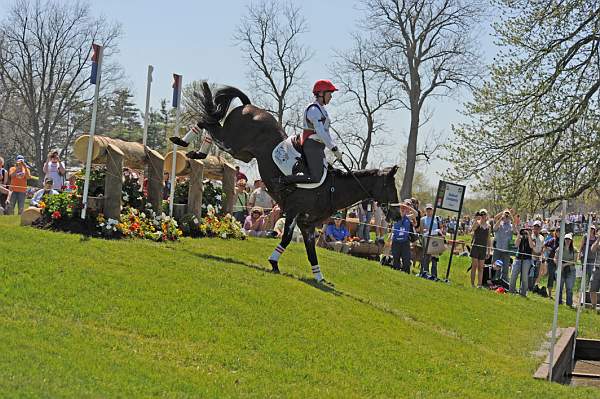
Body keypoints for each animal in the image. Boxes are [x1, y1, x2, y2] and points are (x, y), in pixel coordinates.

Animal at [188, 82, 398, 282]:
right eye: (390, 187)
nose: (396, 215)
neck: (331, 189)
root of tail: (249, 106)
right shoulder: (293, 211)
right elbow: (287, 238)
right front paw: (274, 263)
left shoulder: (308, 224)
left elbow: (311, 251)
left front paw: (319, 278)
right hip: (233, 143)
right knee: (207, 123)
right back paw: (190, 147)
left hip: (242, 153)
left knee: (211, 124)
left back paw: (194, 151)